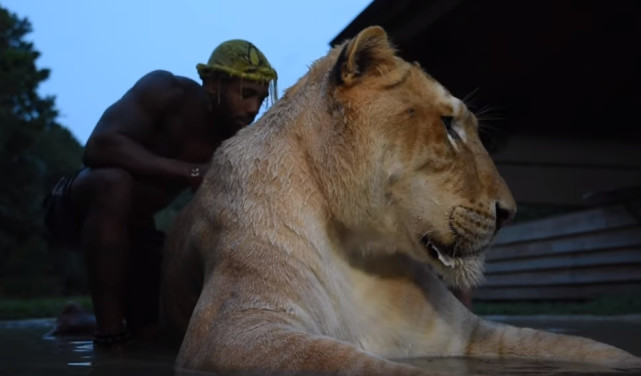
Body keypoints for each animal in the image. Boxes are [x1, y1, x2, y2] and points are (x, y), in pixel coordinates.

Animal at [161, 25, 640, 374]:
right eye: (448, 126)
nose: (509, 213)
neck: (355, 250)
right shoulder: (234, 330)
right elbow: (365, 366)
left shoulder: (465, 336)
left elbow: (583, 346)